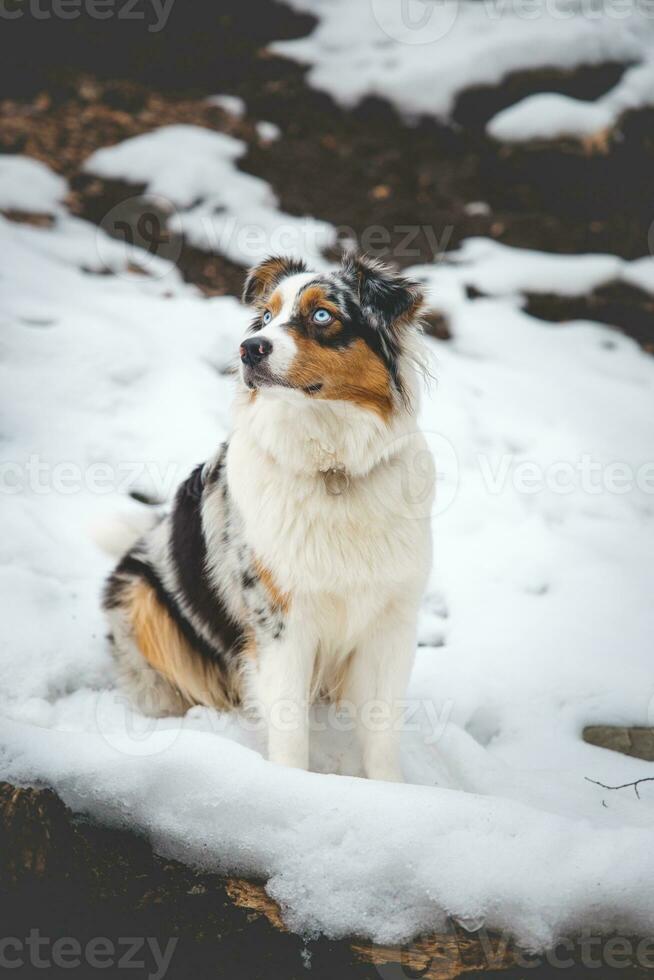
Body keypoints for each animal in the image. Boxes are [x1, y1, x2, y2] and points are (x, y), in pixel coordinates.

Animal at [104, 251, 436, 780]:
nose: (248, 349)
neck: (332, 468)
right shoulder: (279, 621)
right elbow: (289, 727)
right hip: (143, 601)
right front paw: (292, 785)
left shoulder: (392, 619)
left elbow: (383, 731)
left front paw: (390, 790)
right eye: (264, 317)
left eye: (322, 315)